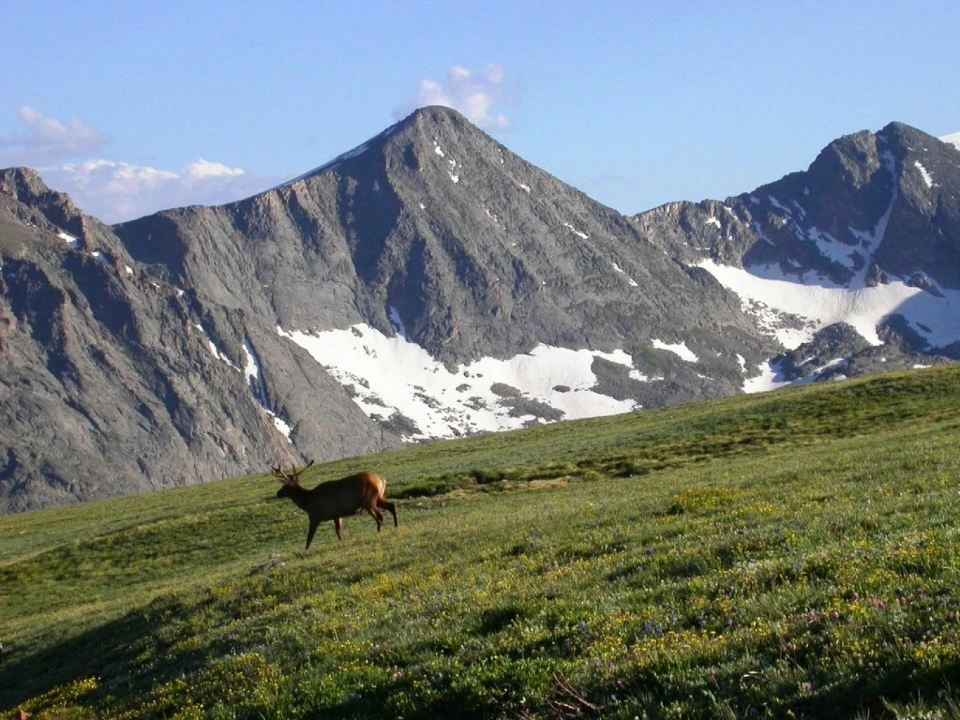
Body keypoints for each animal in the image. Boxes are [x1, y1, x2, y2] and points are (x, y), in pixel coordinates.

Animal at [270, 462, 398, 544]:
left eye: (285, 485)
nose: (278, 493)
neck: (308, 502)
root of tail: (381, 480)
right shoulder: (336, 515)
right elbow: (338, 532)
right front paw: (341, 542)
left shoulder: (314, 516)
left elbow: (309, 538)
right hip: (379, 497)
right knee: (392, 506)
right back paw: (396, 526)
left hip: (369, 501)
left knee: (379, 516)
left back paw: (379, 532)